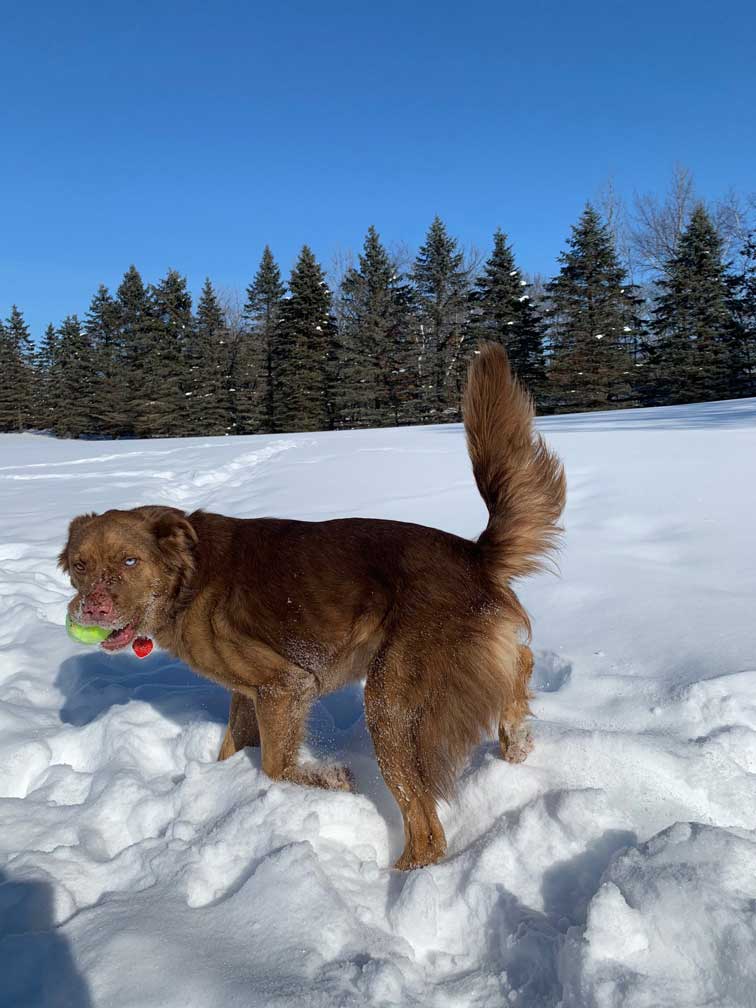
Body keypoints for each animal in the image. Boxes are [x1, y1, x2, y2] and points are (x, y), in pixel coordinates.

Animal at [59, 344, 564, 866]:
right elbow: (231, 749)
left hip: (391, 702)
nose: (91, 609)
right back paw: (515, 738)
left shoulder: (284, 684)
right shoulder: (248, 693)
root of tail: (474, 554)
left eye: (130, 561)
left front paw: (330, 779)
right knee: (521, 660)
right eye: (79, 565)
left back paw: (405, 874)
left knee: (427, 827)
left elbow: (275, 765)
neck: (187, 577)